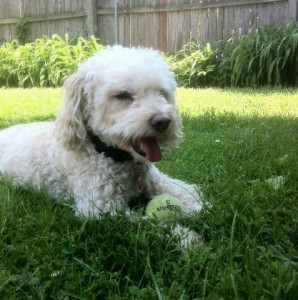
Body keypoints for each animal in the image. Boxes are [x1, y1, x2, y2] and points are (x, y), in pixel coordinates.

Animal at [0, 47, 203, 243]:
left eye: (161, 93)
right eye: (123, 95)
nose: (163, 121)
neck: (111, 155)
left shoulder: (156, 179)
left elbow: (188, 192)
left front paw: (199, 209)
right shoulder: (102, 209)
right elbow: (148, 224)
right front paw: (186, 238)